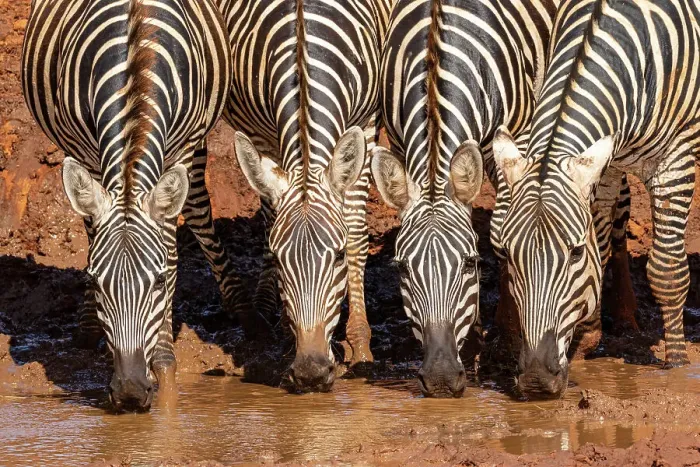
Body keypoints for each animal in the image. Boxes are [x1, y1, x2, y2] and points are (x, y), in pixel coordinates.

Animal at [22, 0, 236, 410]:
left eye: (158, 283)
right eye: (96, 281)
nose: (130, 391)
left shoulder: (180, 147)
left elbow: (171, 251)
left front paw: (165, 365)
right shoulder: (87, 150)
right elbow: (94, 233)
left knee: (198, 209)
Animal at [218, 0, 391, 392]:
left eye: (338, 257)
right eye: (282, 262)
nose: (311, 373)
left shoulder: (366, 123)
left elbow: (356, 234)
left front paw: (360, 342)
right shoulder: (261, 131)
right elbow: (270, 219)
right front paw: (285, 334)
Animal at [371, 0, 560, 397]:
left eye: (471, 264)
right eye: (402, 268)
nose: (441, 379)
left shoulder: (515, 134)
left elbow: (505, 234)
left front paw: (506, 343)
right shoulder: (399, 142)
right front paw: (472, 343)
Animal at [493, 0, 700, 398]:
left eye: (574, 253)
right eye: (507, 254)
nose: (536, 380)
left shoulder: (676, 158)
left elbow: (667, 272)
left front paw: (678, 368)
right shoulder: (606, 167)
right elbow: (601, 249)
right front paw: (588, 338)